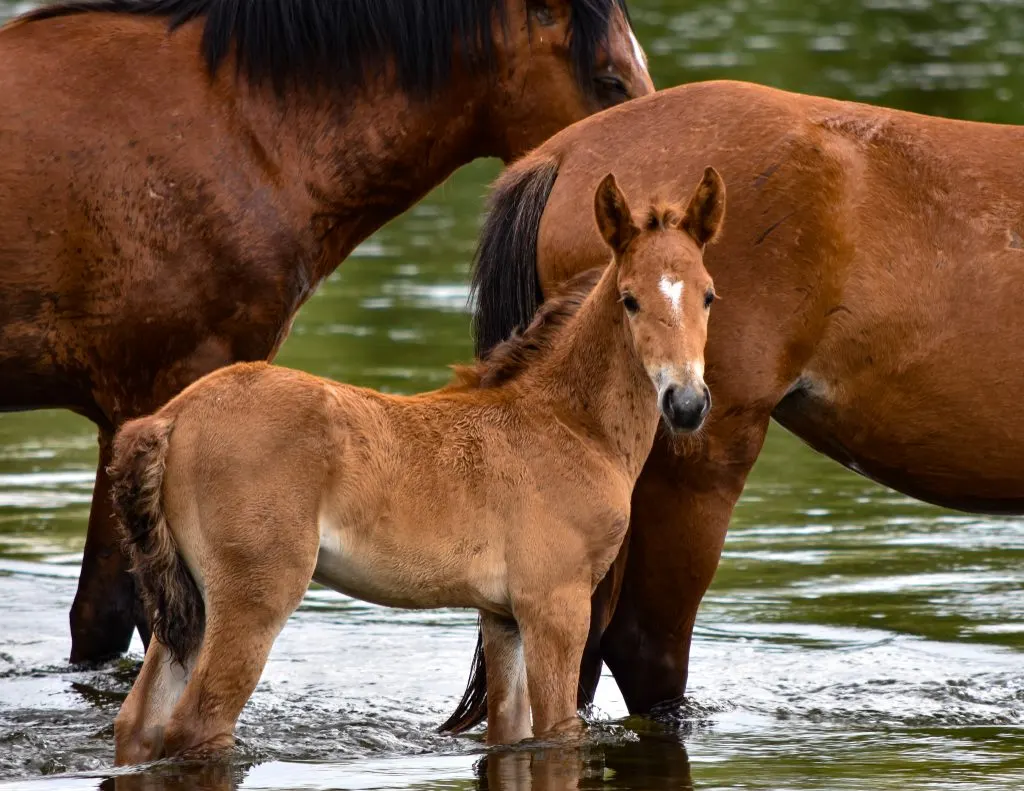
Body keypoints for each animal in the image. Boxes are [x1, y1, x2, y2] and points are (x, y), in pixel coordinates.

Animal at [104, 167, 726, 763]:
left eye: (709, 295)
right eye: (629, 298)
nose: (686, 403)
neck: (569, 423)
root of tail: (173, 417)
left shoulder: (502, 618)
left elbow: (510, 734)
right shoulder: (556, 605)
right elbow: (557, 734)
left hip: (189, 605)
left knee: (138, 723)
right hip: (252, 598)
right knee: (197, 726)